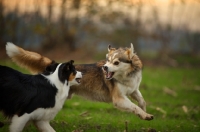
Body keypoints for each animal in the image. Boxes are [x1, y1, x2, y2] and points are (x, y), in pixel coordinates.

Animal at [5, 42, 153, 120]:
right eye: (108, 61)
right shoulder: (119, 99)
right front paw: (144, 115)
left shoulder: (133, 90)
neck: (127, 75)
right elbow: (133, 106)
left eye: (116, 62)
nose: (105, 67)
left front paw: (143, 112)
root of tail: (55, 65)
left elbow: (141, 101)